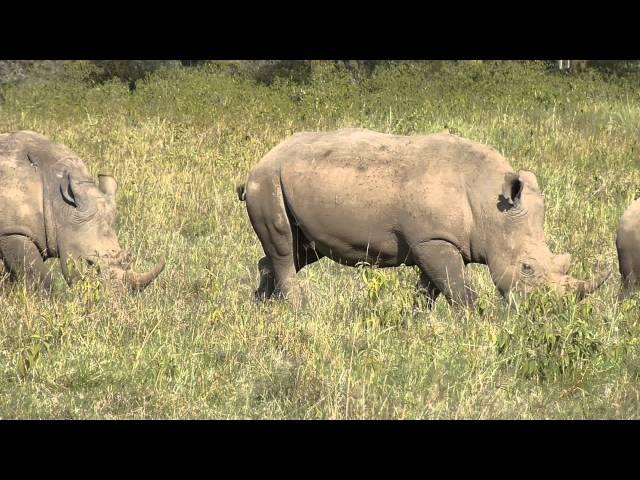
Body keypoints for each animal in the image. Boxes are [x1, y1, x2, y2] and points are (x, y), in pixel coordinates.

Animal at [238, 127, 608, 308]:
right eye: (527, 267)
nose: (550, 311)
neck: (489, 205)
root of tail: (261, 160)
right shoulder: (433, 239)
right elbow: (459, 291)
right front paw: (476, 324)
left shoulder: (433, 242)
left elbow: (430, 291)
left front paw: (413, 323)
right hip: (267, 181)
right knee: (285, 248)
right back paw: (300, 311)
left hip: (288, 181)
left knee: (299, 250)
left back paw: (263, 307)